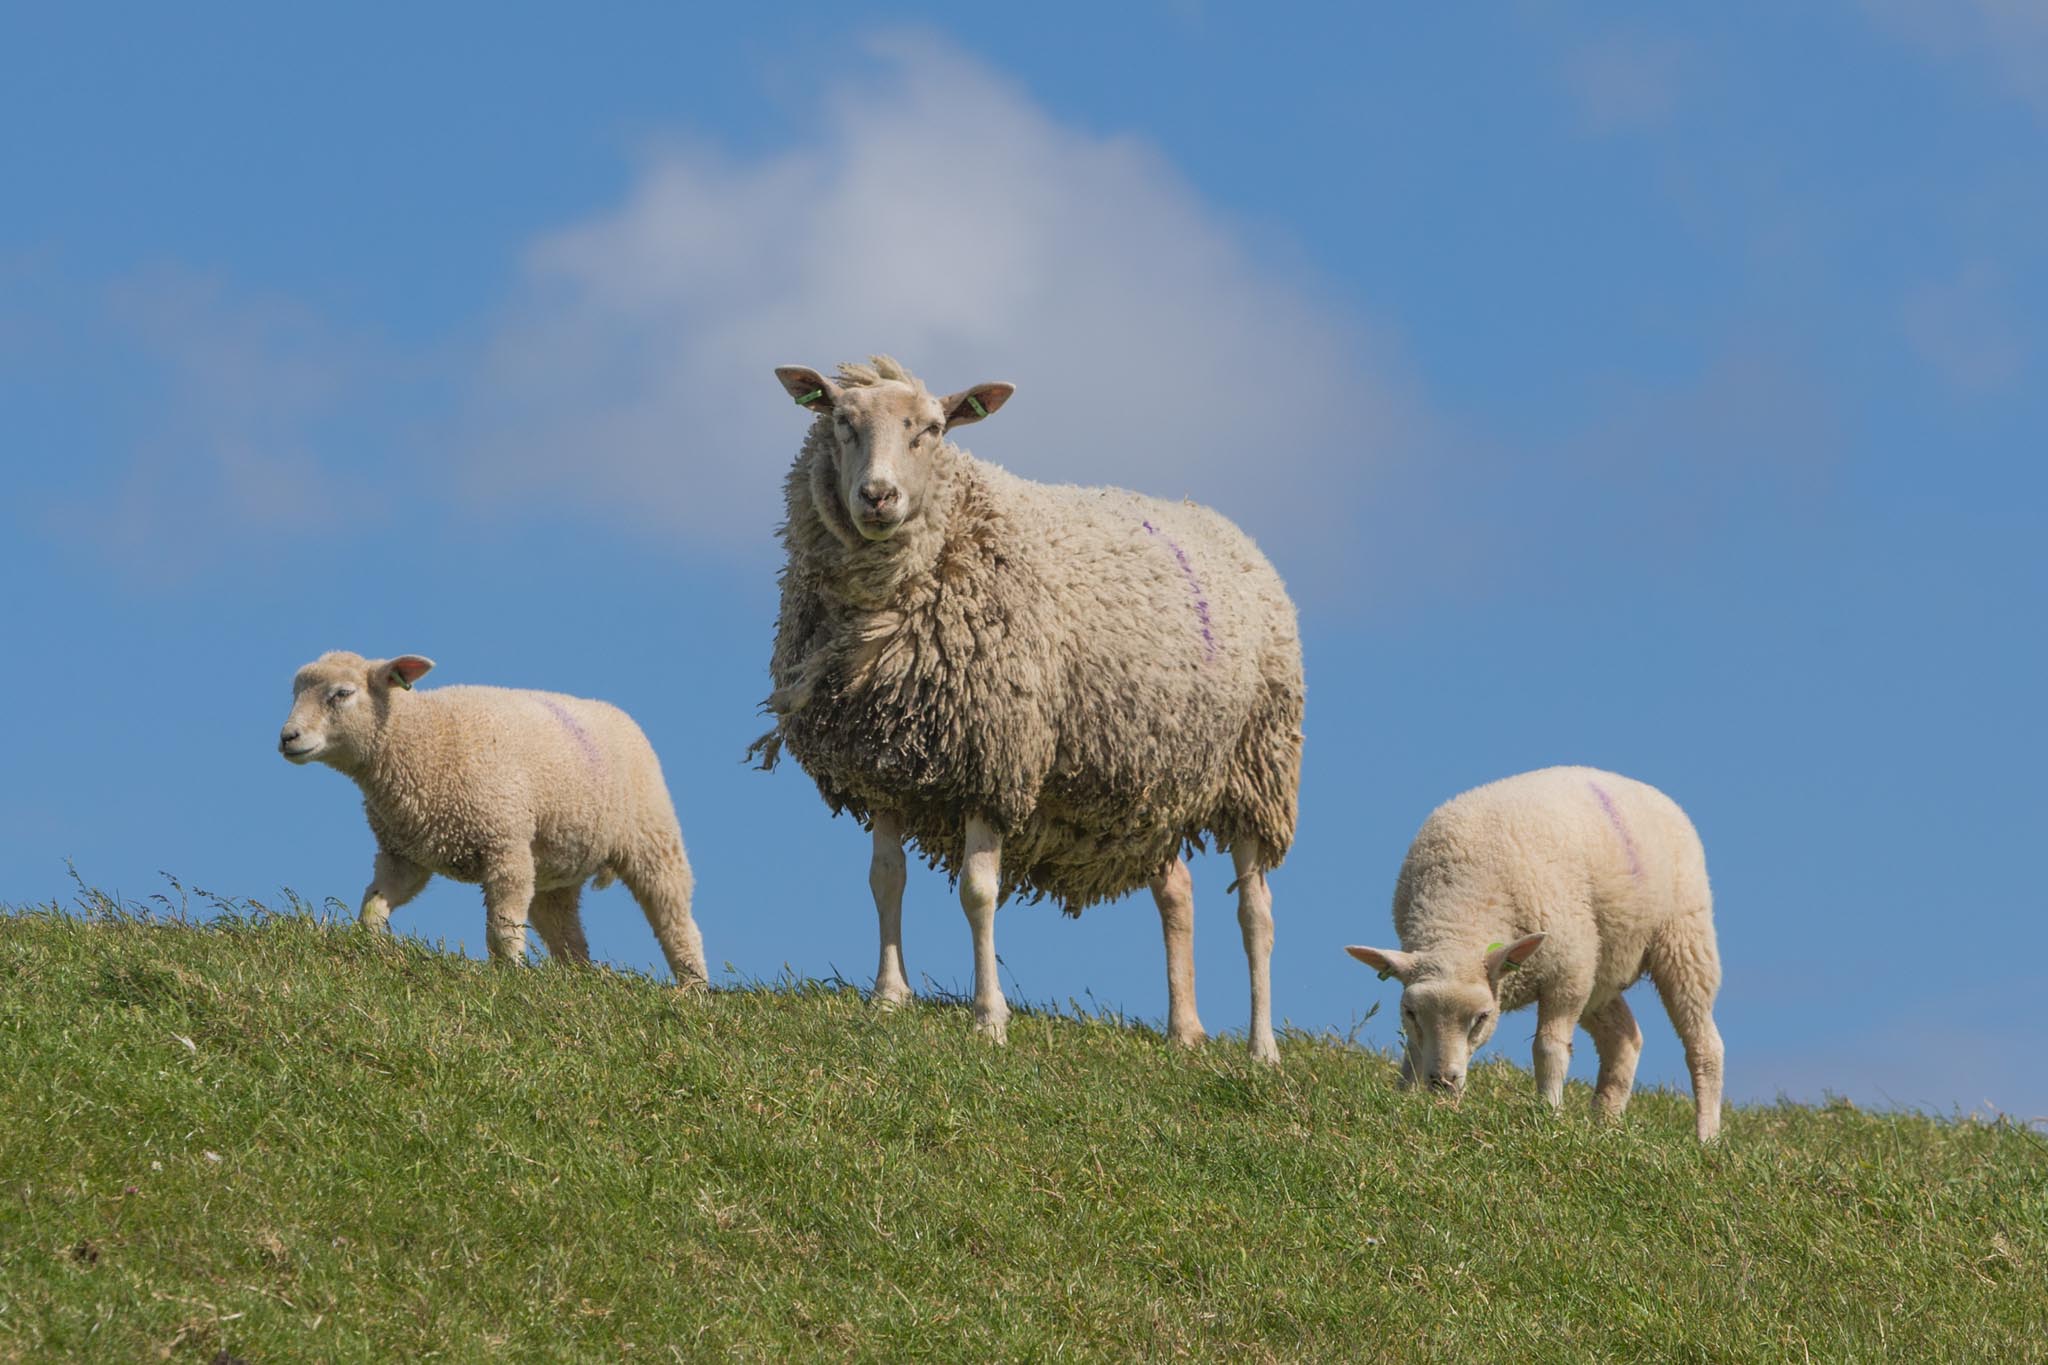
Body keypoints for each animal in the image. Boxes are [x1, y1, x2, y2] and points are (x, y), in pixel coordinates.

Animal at [278, 651, 707, 987]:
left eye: (342, 694)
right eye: (295, 693)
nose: (287, 737)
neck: (420, 740)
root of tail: (616, 712)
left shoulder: (505, 843)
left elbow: (502, 927)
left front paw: (511, 975)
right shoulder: (403, 855)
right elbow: (374, 905)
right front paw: (375, 946)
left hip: (652, 837)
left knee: (675, 920)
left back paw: (694, 989)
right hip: (554, 868)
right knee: (565, 930)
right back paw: (578, 980)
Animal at [748, 356, 1304, 1062]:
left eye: (932, 430)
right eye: (841, 421)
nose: (878, 496)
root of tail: (1230, 531)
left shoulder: (994, 757)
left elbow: (977, 892)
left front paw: (989, 1018)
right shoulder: (883, 764)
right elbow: (885, 878)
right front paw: (888, 996)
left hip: (1259, 766)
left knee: (1257, 913)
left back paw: (1262, 1049)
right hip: (1155, 782)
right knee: (1176, 892)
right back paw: (1184, 1032)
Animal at [1346, 766, 1725, 1141]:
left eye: (1482, 1017)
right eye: (1410, 1012)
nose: (1442, 1082)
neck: (1462, 911)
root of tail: (1645, 788)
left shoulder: (1566, 973)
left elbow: (1548, 1048)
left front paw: (1549, 1114)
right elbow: (1413, 1048)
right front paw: (1405, 1100)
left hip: (1683, 939)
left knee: (1704, 1045)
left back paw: (1706, 1137)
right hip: (1600, 968)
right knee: (1624, 1038)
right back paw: (1604, 1125)